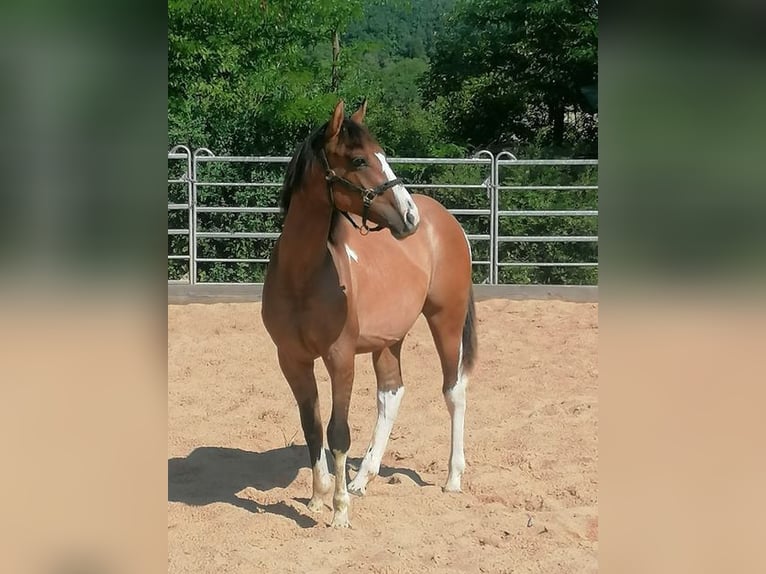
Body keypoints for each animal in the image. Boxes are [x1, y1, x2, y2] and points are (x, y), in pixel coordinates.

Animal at [261, 99, 477, 528]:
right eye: (360, 159)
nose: (409, 217)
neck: (302, 276)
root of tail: (446, 221)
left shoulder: (341, 358)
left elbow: (338, 431)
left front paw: (339, 511)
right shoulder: (291, 360)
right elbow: (312, 428)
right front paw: (318, 496)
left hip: (445, 320)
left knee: (454, 390)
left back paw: (452, 478)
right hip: (389, 339)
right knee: (391, 394)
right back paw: (363, 478)